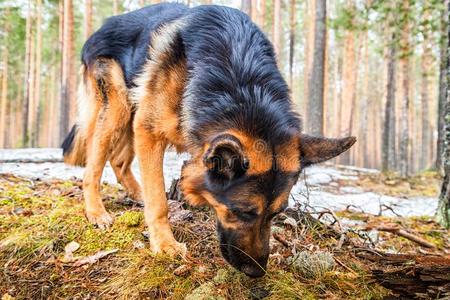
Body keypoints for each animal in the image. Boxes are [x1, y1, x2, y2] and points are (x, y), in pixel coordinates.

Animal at [61, 2, 356, 278]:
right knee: (93, 166)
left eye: (276, 213)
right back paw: (96, 212)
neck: (239, 83)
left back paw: (135, 193)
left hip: (131, 113)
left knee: (120, 161)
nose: (256, 272)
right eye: (243, 212)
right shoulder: (149, 130)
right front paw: (165, 245)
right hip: (118, 107)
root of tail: (100, 28)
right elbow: (158, 202)